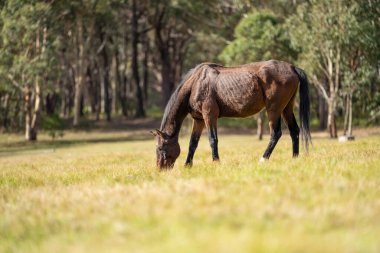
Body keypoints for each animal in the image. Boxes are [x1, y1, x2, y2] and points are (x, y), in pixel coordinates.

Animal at [151, 60, 312, 169]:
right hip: (287, 108)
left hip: (274, 110)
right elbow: (193, 143)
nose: (160, 169)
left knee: (276, 133)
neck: (196, 83)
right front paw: (187, 165)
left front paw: (216, 162)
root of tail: (292, 67)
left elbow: (213, 139)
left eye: (160, 148)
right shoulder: (198, 120)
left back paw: (263, 159)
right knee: (294, 131)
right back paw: (294, 158)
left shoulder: (209, 116)